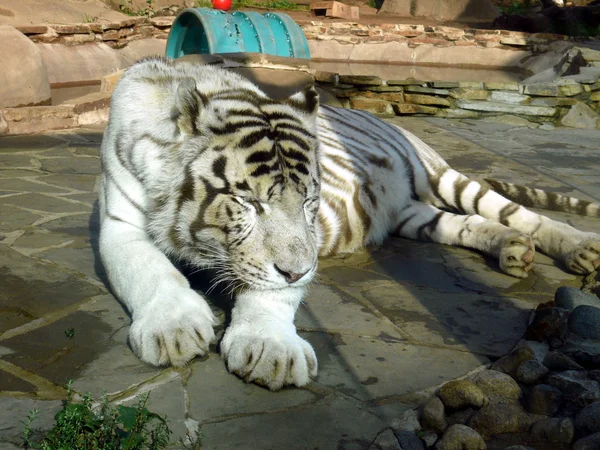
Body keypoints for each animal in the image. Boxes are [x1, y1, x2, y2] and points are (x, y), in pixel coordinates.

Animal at [99, 56, 600, 390]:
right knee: (469, 223)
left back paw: (581, 248)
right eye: (248, 202)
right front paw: (174, 330)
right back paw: (514, 249)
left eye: (308, 202)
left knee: (518, 212)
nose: (299, 271)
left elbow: (271, 292)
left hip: (441, 176)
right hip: (414, 215)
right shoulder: (118, 223)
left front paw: (270, 349)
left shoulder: (302, 249)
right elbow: (149, 271)